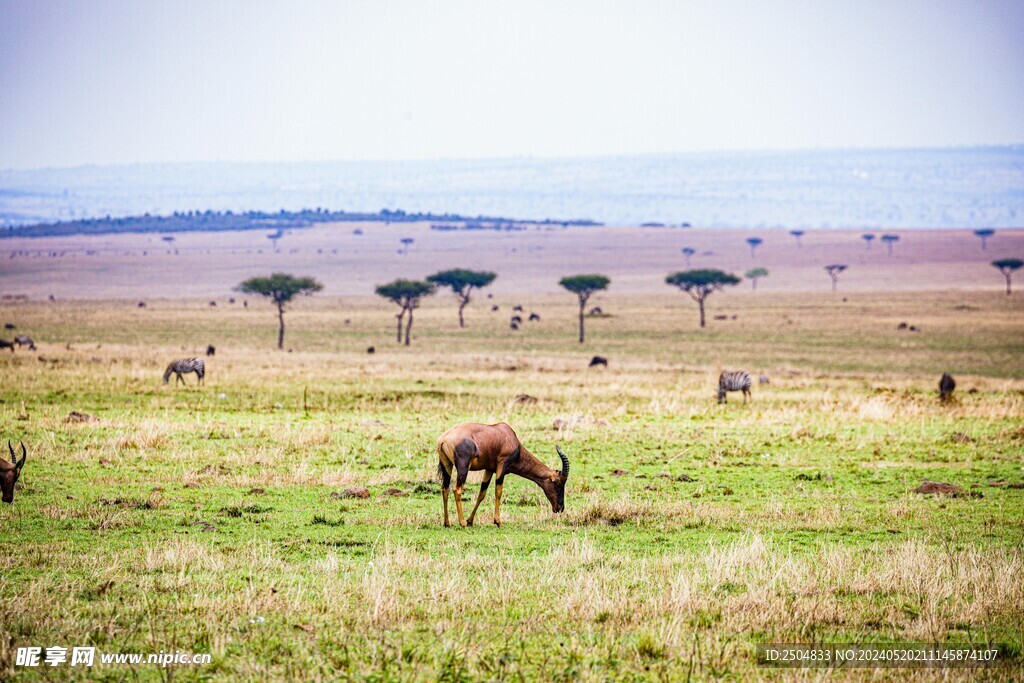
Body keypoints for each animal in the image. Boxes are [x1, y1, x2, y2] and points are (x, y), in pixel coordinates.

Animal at [436, 423, 569, 528]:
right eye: (558, 483)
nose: (560, 508)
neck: (508, 435)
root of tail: (443, 439)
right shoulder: (502, 465)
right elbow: (498, 492)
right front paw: (498, 522)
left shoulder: (489, 469)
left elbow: (482, 493)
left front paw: (470, 521)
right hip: (463, 468)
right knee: (457, 489)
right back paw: (462, 523)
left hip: (447, 466)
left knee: (445, 489)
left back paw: (447, 523)